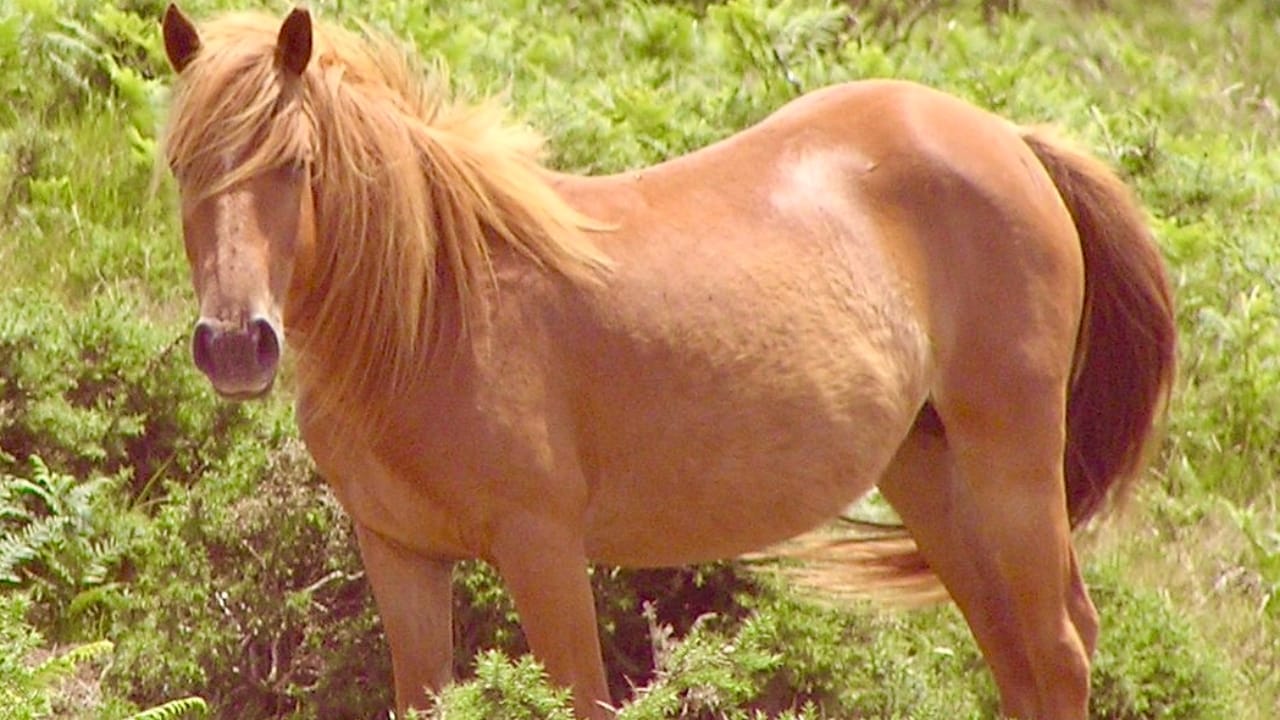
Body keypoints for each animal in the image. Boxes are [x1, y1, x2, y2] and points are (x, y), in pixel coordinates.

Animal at [159, 5, 1176, 719]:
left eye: (296, 164)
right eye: (179, 167)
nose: (237, 344)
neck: (433, 310)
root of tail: (1010, 140)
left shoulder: (543, 549)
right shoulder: (401, 555)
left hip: (1012, 460)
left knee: (1058, 650)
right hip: (929, 470)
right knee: (1020, 660)